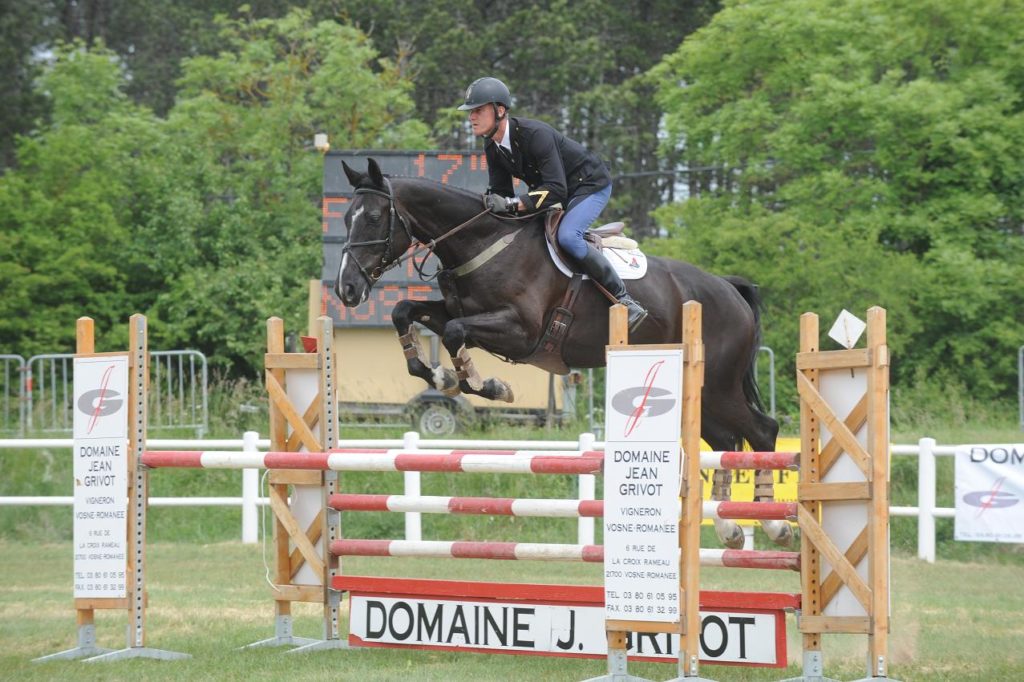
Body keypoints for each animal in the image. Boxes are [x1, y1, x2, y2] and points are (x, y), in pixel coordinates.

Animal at [331, 157, 786, 548]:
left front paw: (489, 386)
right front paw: (442, 377)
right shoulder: (458, 314)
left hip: (720, 384)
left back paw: (774, 525)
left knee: (762, 431)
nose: (347, 289)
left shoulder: (520, 331)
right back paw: (729, 527)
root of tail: (730, 289)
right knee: (725, 440)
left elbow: (457, 336)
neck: (482, 241)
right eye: (345, 217)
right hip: (702, 391)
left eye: (374, 218)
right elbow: (404, 312)